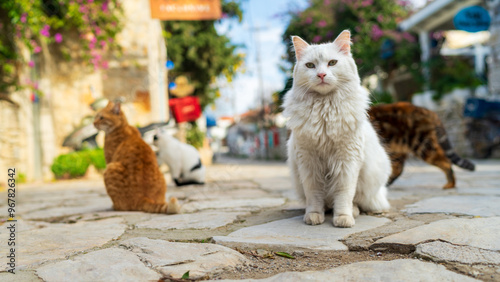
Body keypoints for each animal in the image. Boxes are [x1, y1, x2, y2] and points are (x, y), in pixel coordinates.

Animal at [284, 30, 392, 228]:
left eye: (332, 63)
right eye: (310, 65)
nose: (321, 74)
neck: (324, 109)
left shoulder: (347, 160)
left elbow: (344, 194)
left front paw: (343, 218)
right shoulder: (308, 161)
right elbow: (314, 195)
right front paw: (313, 216)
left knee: (358, 202)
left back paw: (354, 212)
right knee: (326, 203)